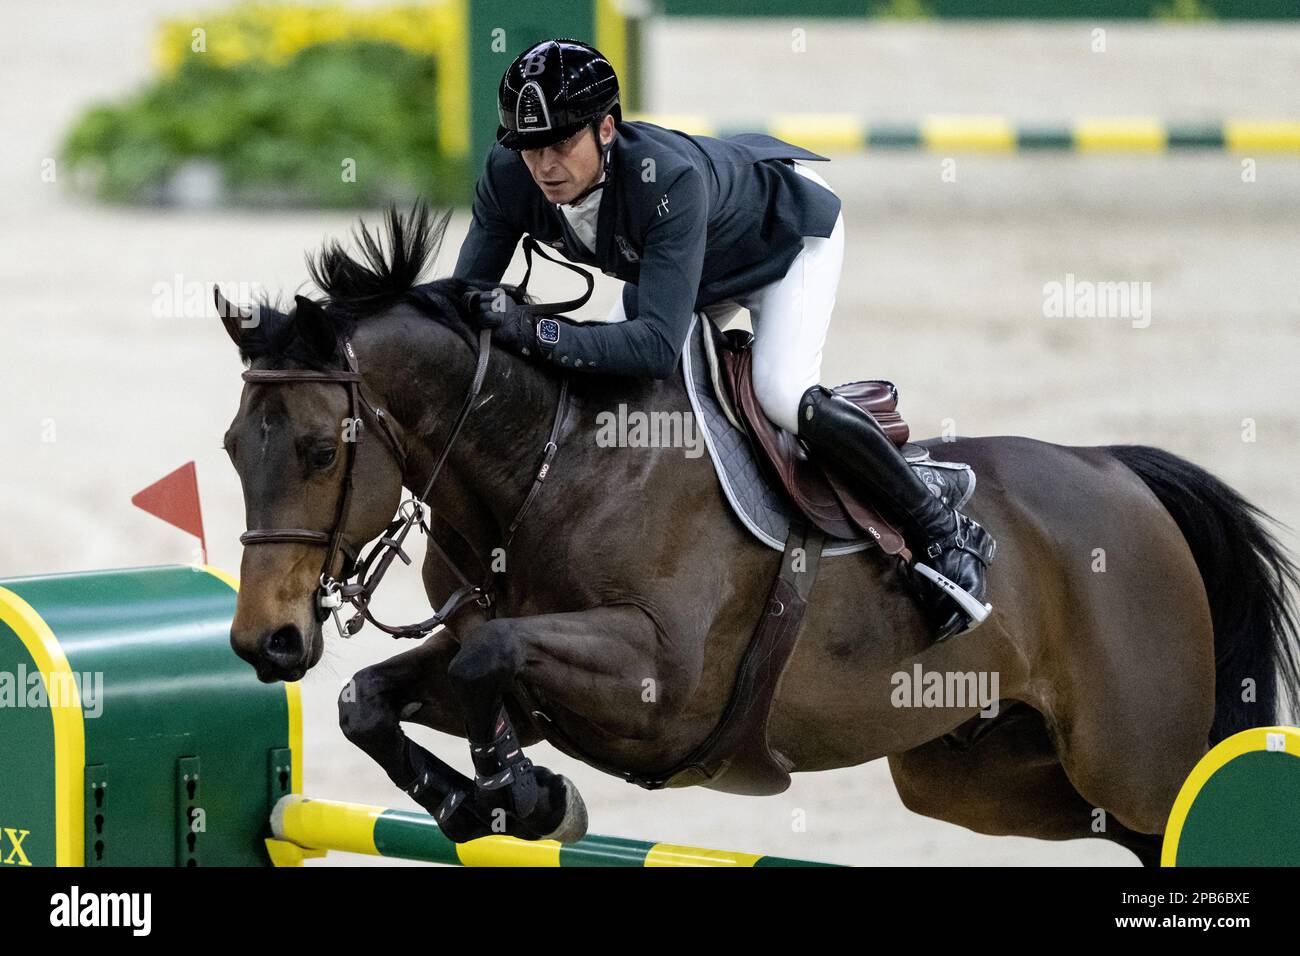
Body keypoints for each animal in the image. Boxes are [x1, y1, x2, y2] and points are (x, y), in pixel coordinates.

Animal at [218, 205, 1294, 863]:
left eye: (318, 450)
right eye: (233, 447)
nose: (266, 643)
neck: (544, 466)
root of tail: (1122, 476)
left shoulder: (660, 681)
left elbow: (490, 657)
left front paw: (523, 797)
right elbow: (368, 698)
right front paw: (478, 800)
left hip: (1130, 761)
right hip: (979, 776)